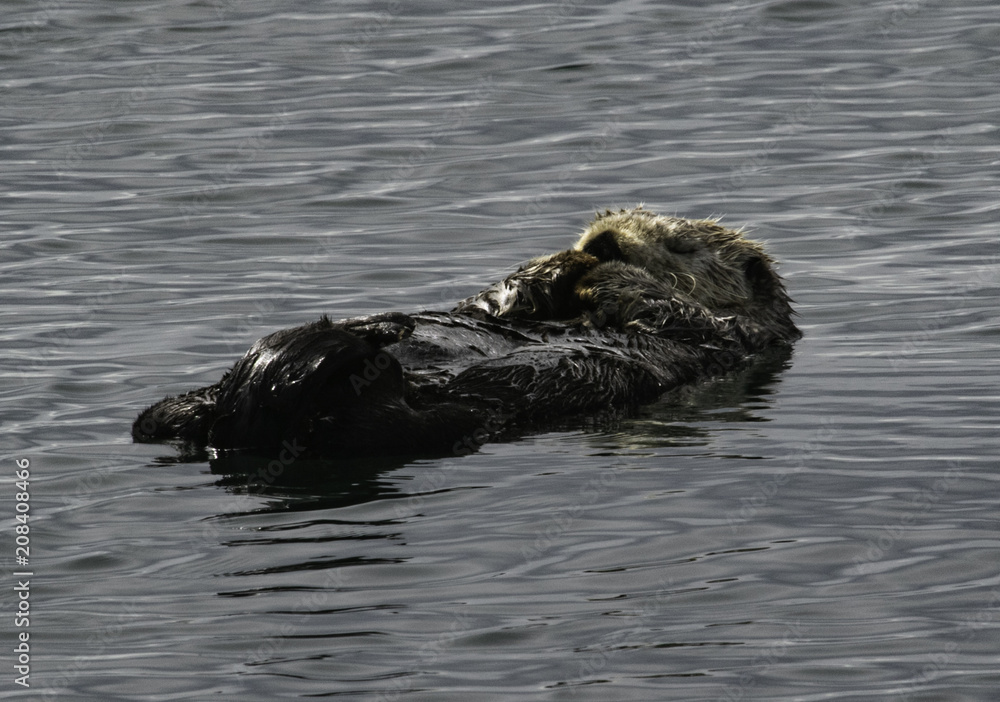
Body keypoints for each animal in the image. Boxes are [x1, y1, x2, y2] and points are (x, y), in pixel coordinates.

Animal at [133, 207, 800, 457]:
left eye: (680, 244)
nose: (603, 240)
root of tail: (241, 424)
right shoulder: (504, 305)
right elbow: (496, 302)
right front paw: (563, 261)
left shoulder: (733, 338)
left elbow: (674, 311)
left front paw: (606, 271)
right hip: (184, 407)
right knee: (155, 420)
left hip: (417, 425)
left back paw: (360, 342)